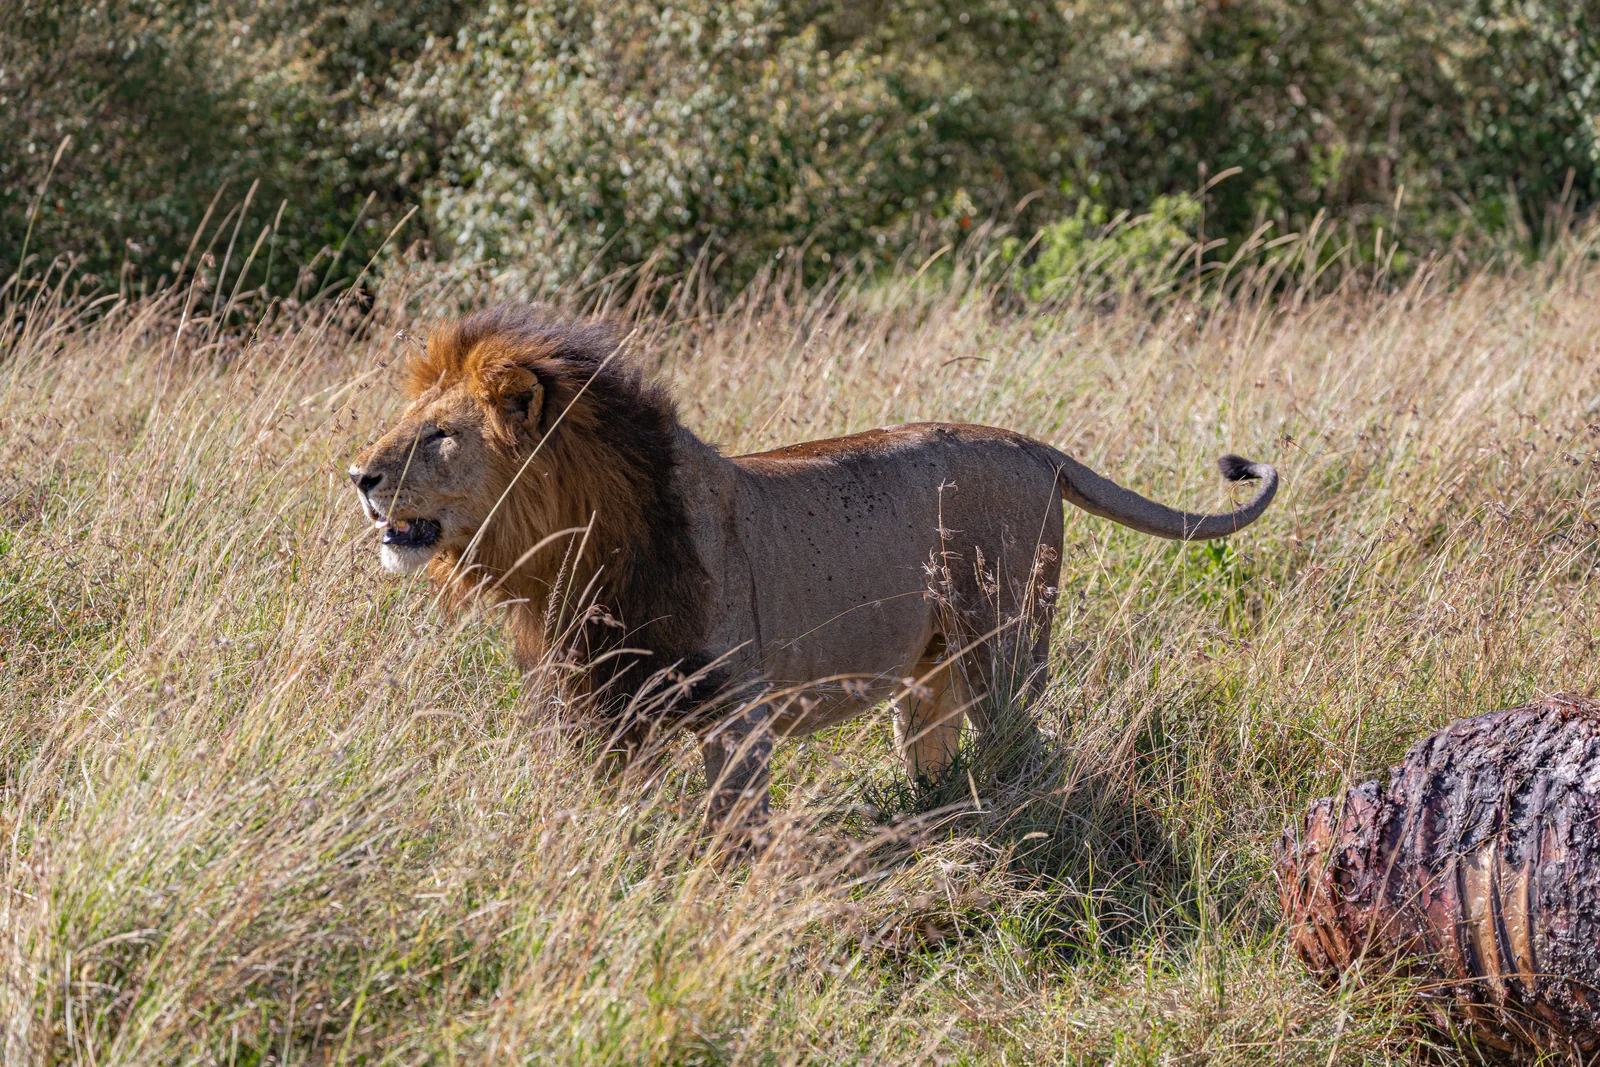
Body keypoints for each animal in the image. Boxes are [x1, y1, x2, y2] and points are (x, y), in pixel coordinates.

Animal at [349, 305, 1278, 823]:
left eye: (440, 436)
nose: (358, 475)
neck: (571, 556)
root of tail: (1026, 444)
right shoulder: (594, 701)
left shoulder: (736, 709)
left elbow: (735, 827)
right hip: (927, 672)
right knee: (932, 751)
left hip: (1004, 646)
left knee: (1021, 748)